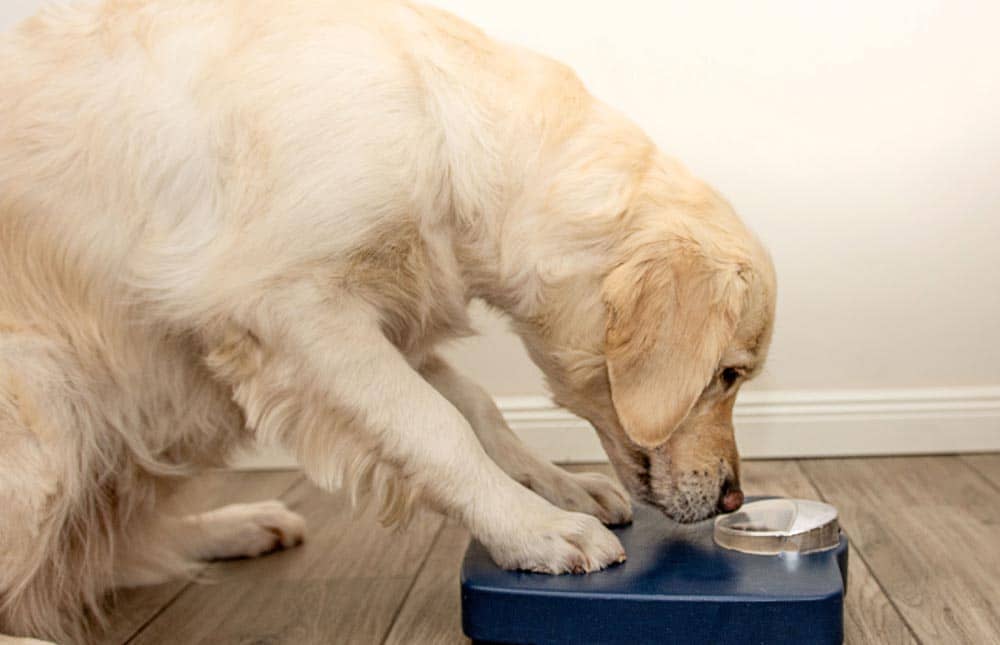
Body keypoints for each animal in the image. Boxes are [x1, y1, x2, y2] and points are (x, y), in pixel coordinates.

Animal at [0, 0, 776, 640]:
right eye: (727, 374)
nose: (734, 496)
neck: (443, 124)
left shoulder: (390, 322)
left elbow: (480, 409)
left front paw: (552, 484)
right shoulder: (296, 312)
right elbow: (436, 429)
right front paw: (533, 527)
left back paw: (239, 523)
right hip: (48, 400)